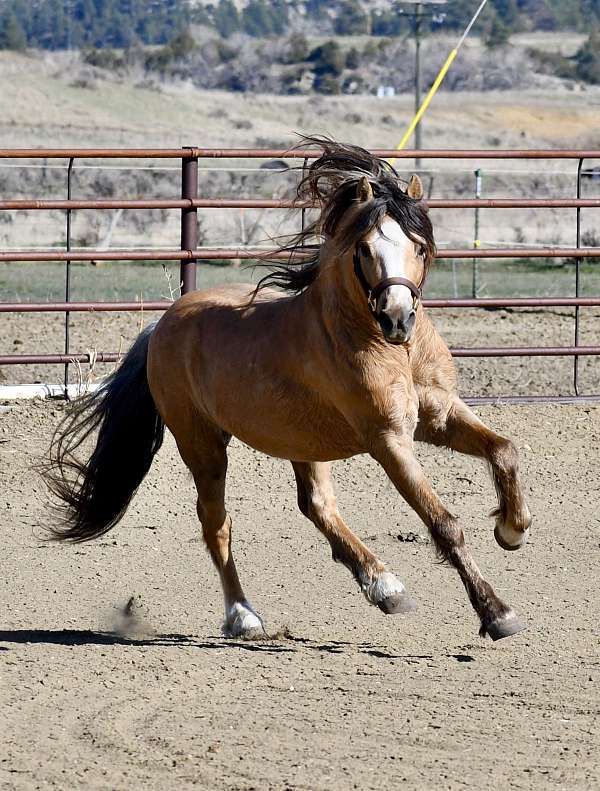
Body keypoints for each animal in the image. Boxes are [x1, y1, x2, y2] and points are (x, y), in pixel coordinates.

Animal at [48, 136, 536, 644]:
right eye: (365, 249)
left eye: (419, 247)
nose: (397, 319)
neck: (390, 349)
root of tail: (162, 324)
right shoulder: (389, 440)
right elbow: (443, 523)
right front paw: (497, 613)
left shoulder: (438, 416)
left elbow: (505, 450)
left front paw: (512, 530)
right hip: (202, 444)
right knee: (217, 524)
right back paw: (244, 616)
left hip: (304, 442)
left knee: (317, 506)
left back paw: (385, 587)